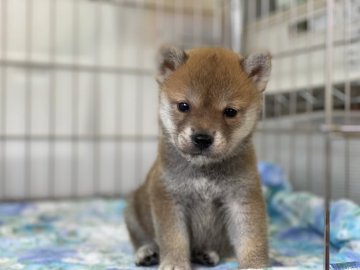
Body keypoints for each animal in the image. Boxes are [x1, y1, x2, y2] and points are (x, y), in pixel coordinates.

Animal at [125, 45, 272, 268]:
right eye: (184, 106)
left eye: (230, 111)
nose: (202, 138)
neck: (204, 171)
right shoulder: (169, 198)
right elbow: (173, 238)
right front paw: (175, 263)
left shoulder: (242, 198)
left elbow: (251, 238)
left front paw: (254, 265)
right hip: (133, 212)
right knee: (142, 239)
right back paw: (147, 252)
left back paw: (206, 253)